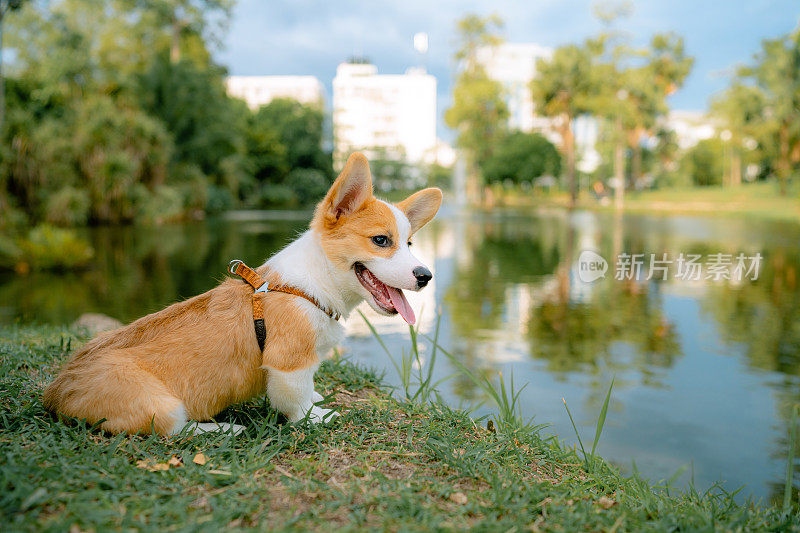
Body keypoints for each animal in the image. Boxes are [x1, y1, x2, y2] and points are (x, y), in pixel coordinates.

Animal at [43, 152, 444, 434]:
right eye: (381, 241)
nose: (426, 276)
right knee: (172, 430)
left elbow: (308, 388)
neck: (312, 283)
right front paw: (317, 415)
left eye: (409, 243)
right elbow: (296, 402)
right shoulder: (288, 365)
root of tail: (57, 393)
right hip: (161, 406)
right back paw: (222, 429)